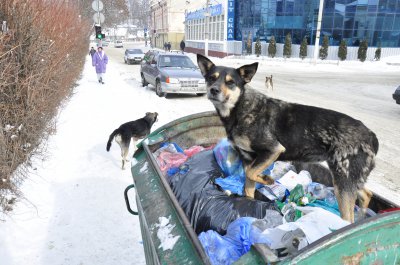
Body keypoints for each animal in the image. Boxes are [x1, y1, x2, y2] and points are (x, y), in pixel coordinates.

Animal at [197, 54, 378, 223]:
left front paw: (267, 179)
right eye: (211, 78)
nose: (213, 90)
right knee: (367, 193)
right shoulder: (247, 158)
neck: (240, 108)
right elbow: (248, 183)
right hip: (349, 178)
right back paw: (362, 214)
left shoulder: (273, 149)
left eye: (230, 82)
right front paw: (250, 200)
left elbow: (251, 173)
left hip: (343, 181)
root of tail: (371, 135)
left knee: (348, 216)